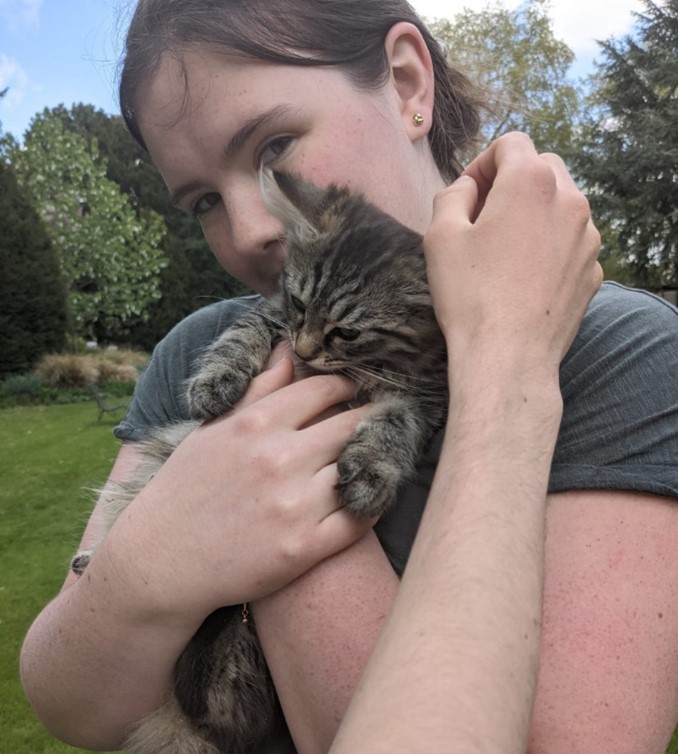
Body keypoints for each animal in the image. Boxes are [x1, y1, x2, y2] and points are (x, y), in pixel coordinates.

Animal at [70, 172, 452, 752]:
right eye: (297, 303)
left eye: (347, 331)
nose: (306, 349)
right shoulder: (269, 316)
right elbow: (239, 334)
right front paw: (216, 379)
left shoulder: (421, 400)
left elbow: (394, 427)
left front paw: (370, 470)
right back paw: (93, 558)